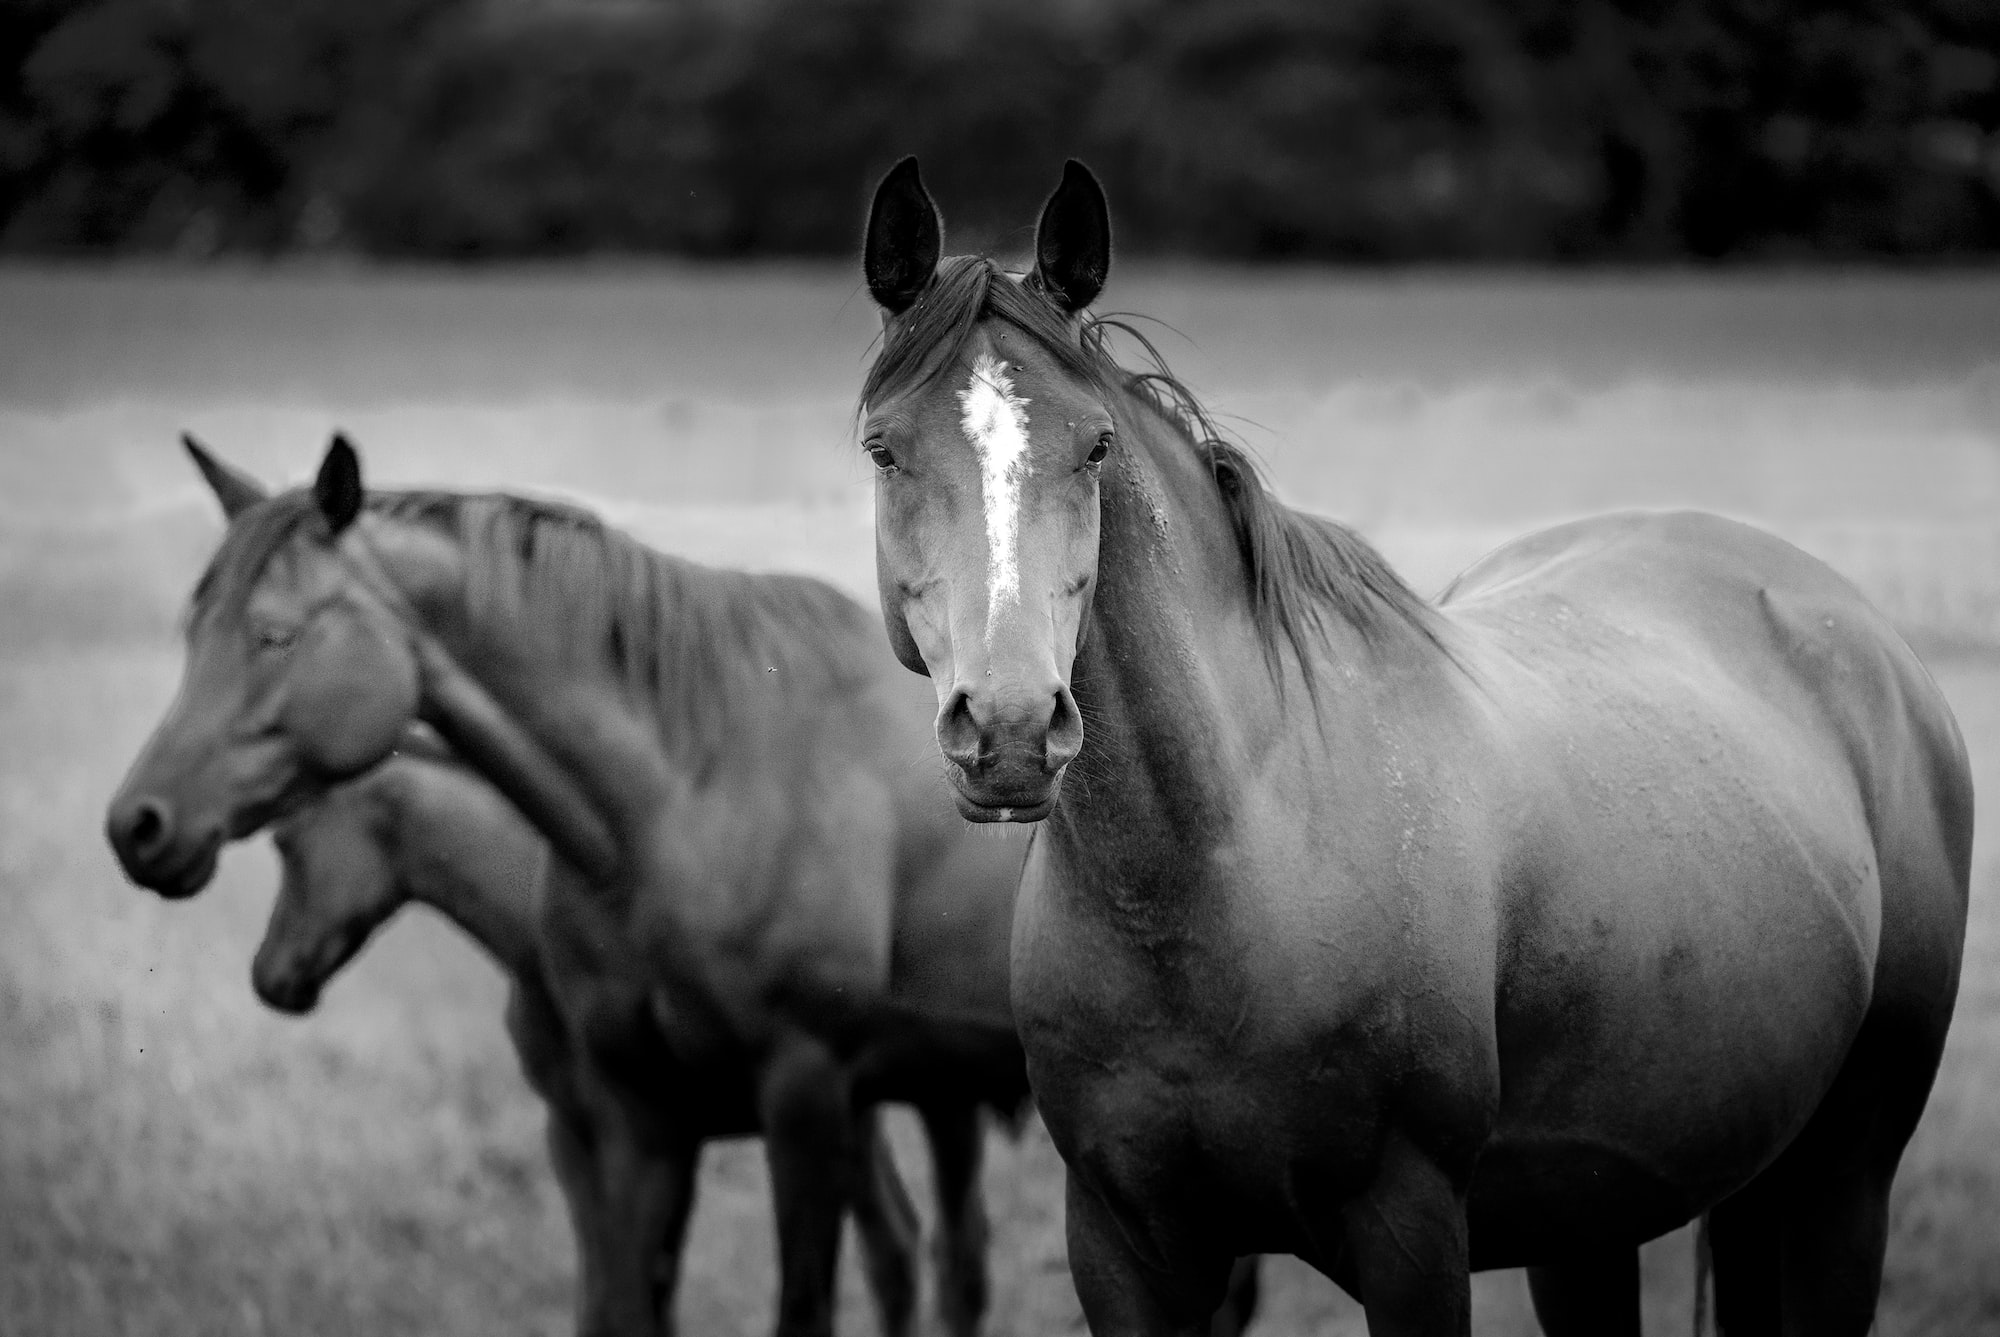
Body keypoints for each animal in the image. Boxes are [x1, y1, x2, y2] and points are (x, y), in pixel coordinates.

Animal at [256, 740, 928, 1337]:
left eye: (285, 839)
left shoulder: (624, 1131)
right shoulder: (584, 1135)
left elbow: (622, 1300)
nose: (268, 977)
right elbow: (611, 1300)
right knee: (894, 1247)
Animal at [844, 159, 1968, 1337]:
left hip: (1841, 1179)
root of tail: (1854, 626)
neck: (1225, 867)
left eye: (1095, 445)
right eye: (884, 447)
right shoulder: (1122, 1243)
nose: (1013, 727)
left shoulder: (1409, 1231)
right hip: (1617, 1210)